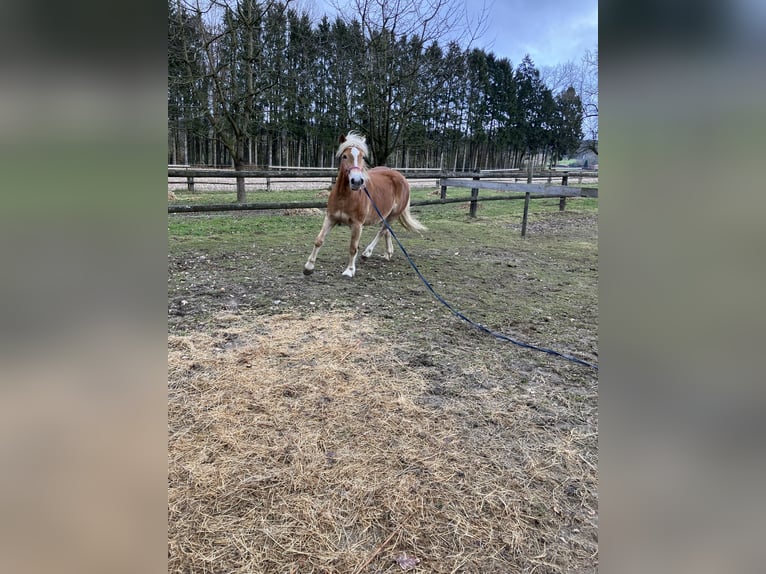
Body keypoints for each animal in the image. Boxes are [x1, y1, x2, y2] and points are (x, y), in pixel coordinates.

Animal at [304, 133, 428, 282]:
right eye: (344, 156)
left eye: (362, 157)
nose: (357, 181)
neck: (344, 196)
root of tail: (401, 178)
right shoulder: (330, 218)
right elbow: (319, 240)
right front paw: (308, 267)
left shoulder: (357, 225)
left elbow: (353, 247)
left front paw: (349, 270)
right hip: (384, 215)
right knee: (387, 231)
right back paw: (388, 253)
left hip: (393, 215)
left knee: (382, 231)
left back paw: (367, 253)